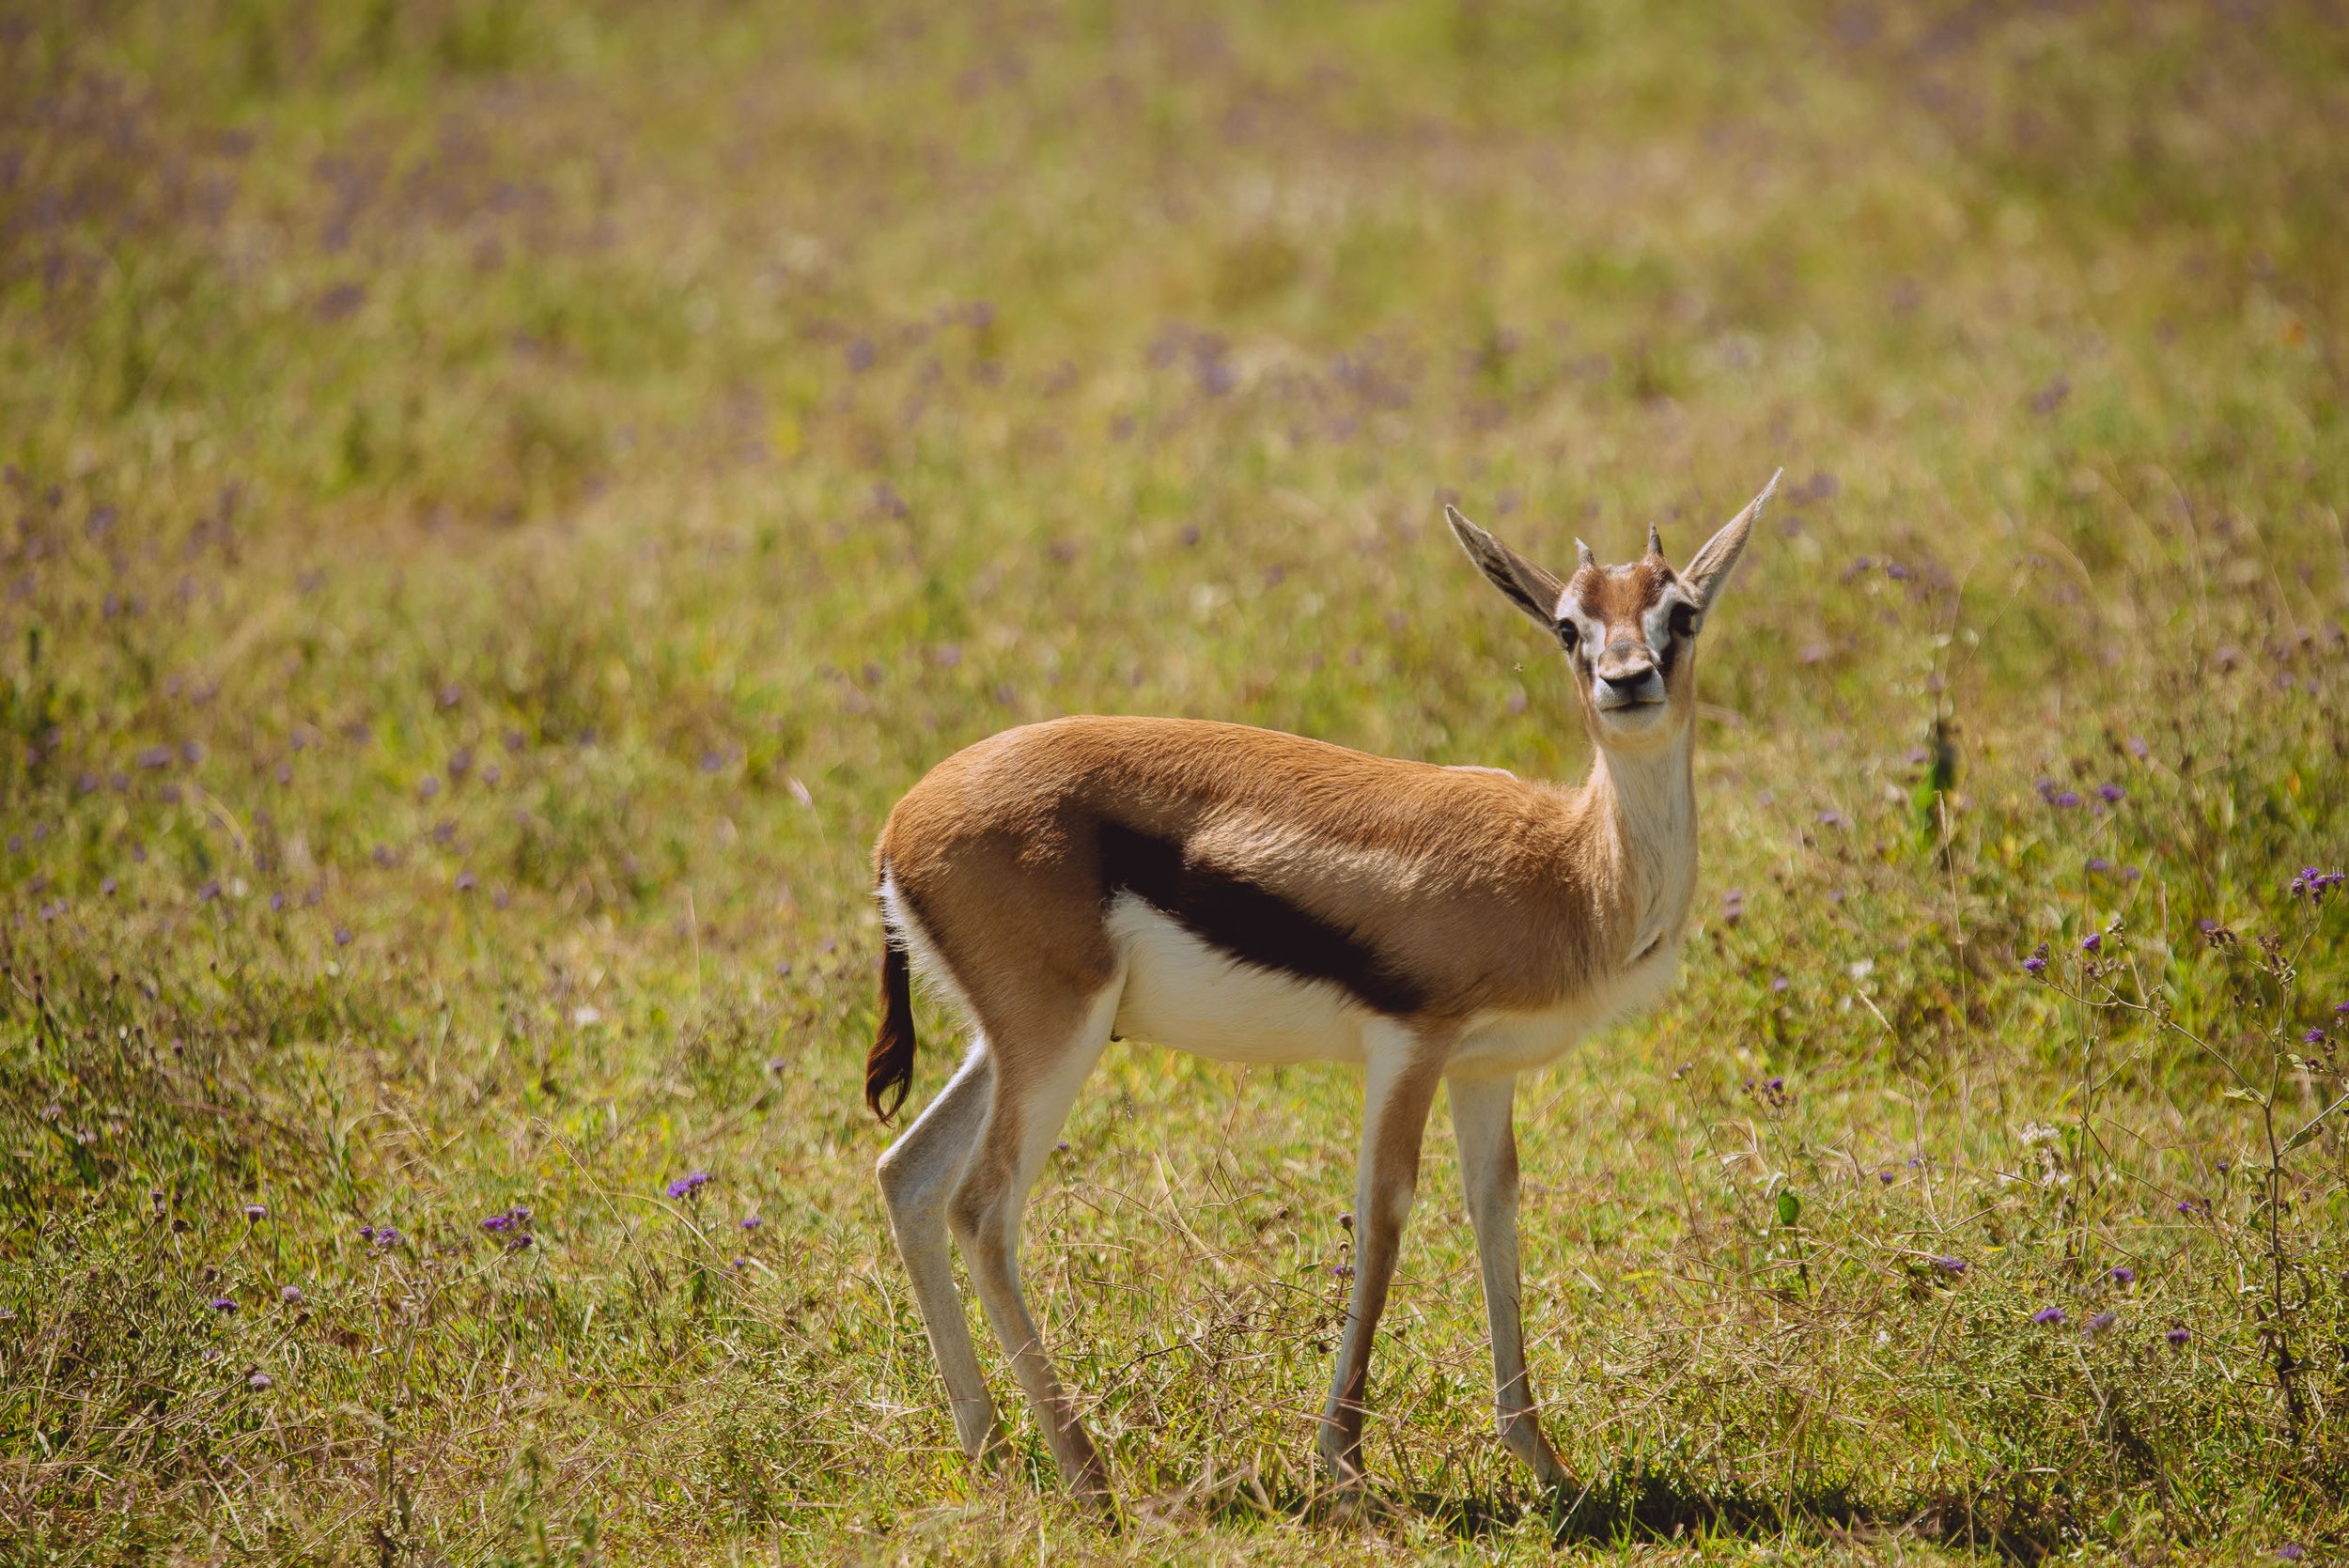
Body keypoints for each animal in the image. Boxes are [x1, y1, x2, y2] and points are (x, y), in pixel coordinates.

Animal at [865, 471, 1781, 1506]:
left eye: (1682, 611)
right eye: (1566, 625)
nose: (1626, 679)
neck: (1568, 868)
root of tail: (900, 824)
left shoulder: (1484, 1069)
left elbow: (1495, 1212)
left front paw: (1545, 1463)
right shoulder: (1410, 1046)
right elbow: (1384, 1216)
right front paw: (1343, 1462)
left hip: (1014, 1043)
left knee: (907, 1175)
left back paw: (985, 1446)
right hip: (1056, 1038)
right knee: (981, 1207)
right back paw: (1090, 1478)